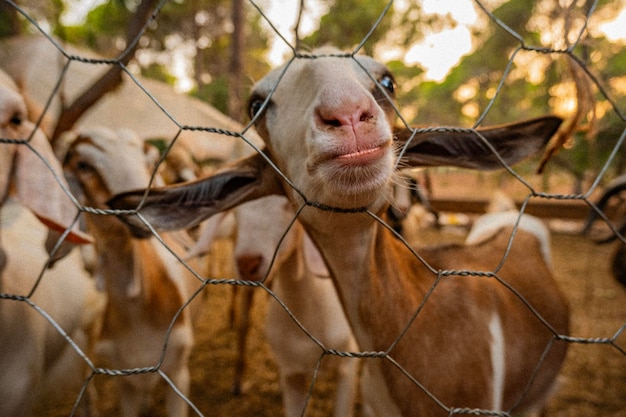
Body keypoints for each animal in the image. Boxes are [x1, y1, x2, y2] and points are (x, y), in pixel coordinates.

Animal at [61, 127, 199, 416]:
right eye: (82, 165)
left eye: (151, 160)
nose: (145, 213)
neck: (139, 312)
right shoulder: (125, 382)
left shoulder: (179, 373)